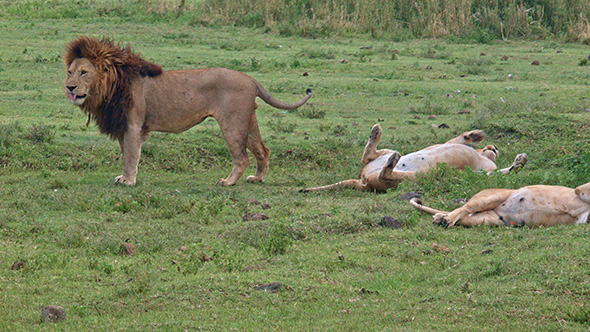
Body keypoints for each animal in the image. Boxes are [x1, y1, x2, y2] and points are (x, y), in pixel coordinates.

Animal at [63, 37, 314, 185]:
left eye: (84, 72)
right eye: (70, 72)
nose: (70, 87)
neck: (110, 84)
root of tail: (251, 79)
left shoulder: (133, 124)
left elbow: (131, 155)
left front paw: (128, 180)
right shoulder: (124, 125)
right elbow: (127, 153)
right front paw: (125, 177)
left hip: (232, 123)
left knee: (242, 157)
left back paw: (228, 182)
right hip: (248, 121)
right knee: (263, 151)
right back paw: (258, 178)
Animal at [302, 124, 528, 192]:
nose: (494, 146)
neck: (481, 156)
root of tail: (362, 181)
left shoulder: (482, 173)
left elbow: (501, 173)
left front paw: (520, 161)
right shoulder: (445, 143)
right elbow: (459, 138)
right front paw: (476, 135)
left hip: (421, 175)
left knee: (383, 172)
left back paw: (390, 157)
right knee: (370, 157)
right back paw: (377, 135)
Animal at [412, 182, 590, 228]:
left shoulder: (580, 219)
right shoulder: (579, 189)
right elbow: (583, 192)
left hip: (487, 220)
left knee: (464, 218)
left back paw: (440, 218)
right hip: (490, 197)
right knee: (464, 208)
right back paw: (446, 218)